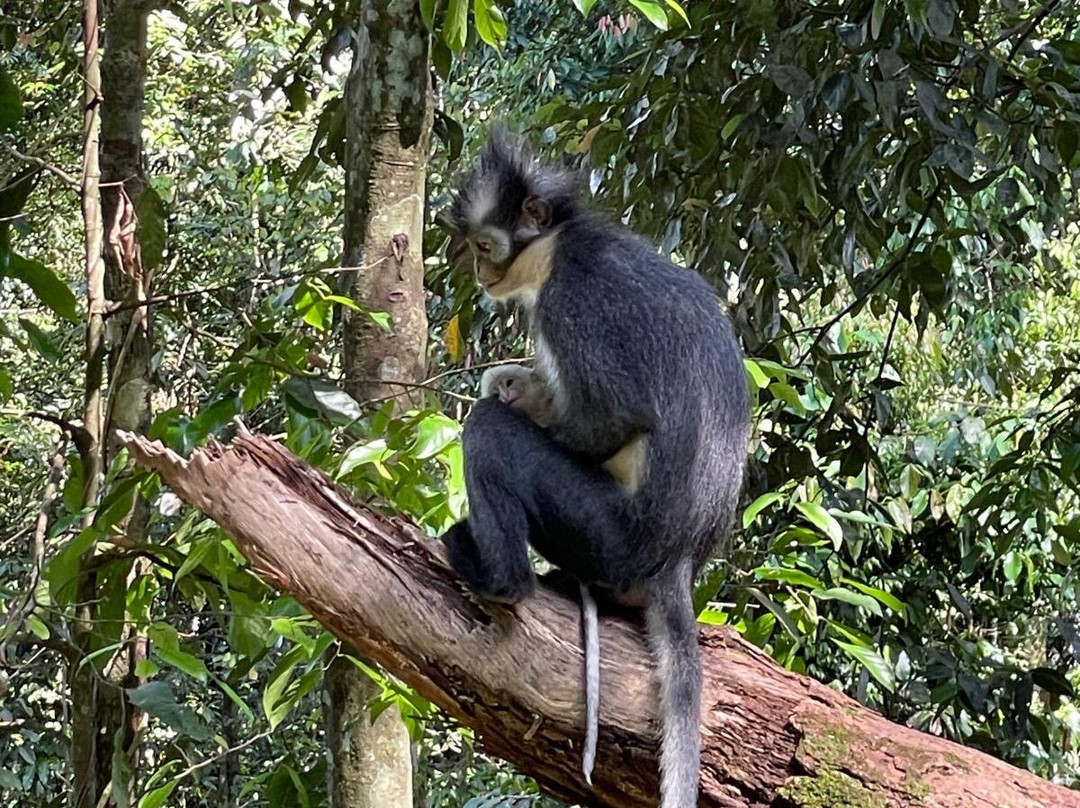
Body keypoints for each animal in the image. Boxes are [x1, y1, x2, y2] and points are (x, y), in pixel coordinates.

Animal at [441, 129, 749, 808]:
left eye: (483, 246)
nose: (479, 272)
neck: (560, 244)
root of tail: (676, 561)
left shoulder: (571, 298)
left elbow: (615, 413)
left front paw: (519, 397)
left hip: (608, 535)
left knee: (491, 434)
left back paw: (503, 578)